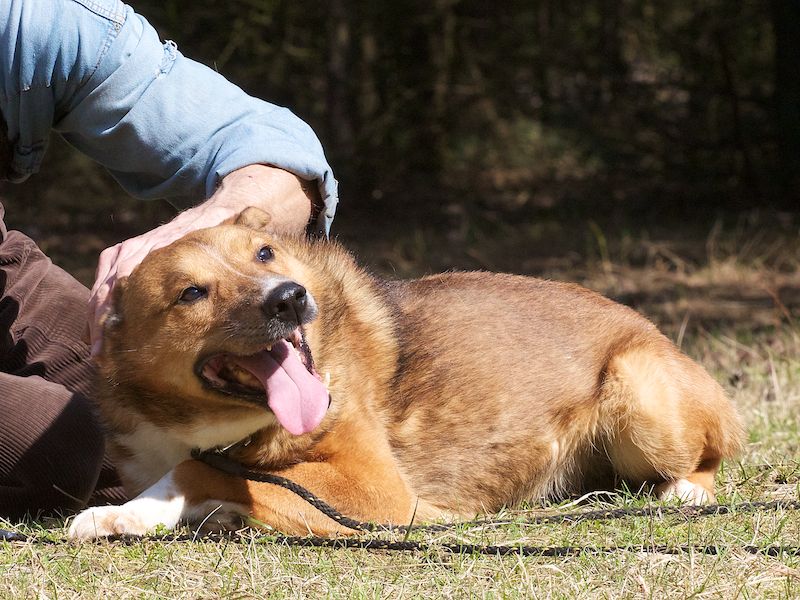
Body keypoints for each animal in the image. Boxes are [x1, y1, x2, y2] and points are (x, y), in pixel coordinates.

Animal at [69, 208, 743, 539]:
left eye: (264, 253)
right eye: (191, 293)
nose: (289, 298)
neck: (212, 425)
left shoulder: (377, 490)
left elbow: (205, 471)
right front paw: (131, 515)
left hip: (641, 393)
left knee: (706, 460)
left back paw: (682, 492)